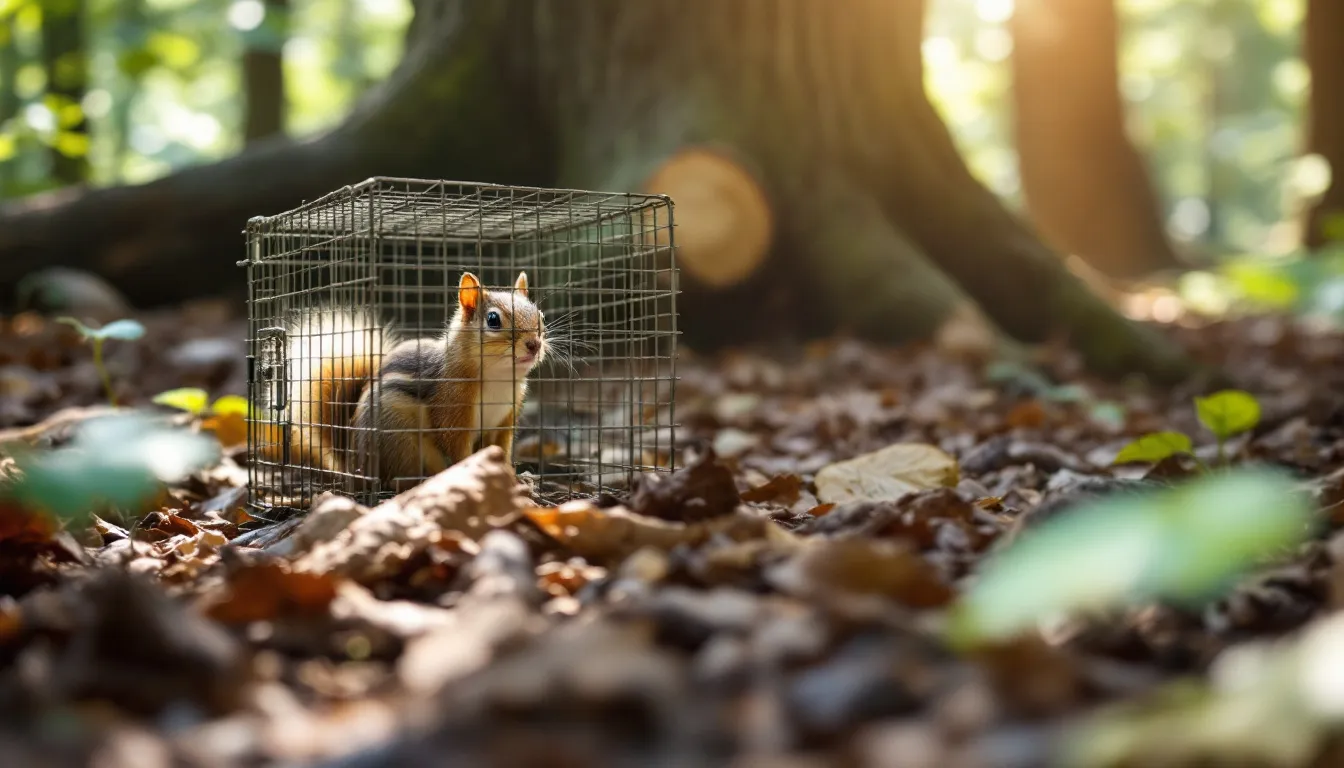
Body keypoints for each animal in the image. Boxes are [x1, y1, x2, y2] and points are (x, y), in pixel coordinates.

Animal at [256, 271, 547, 491]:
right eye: (493, 320)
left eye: (540, 317)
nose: (534, 344)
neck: (500, 378)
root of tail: (354, 467)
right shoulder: (452, 413)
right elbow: (458, 450)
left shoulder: (503, 421)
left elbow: (501, 450)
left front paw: (516, 477)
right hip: (403, 440)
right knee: (398, 481)